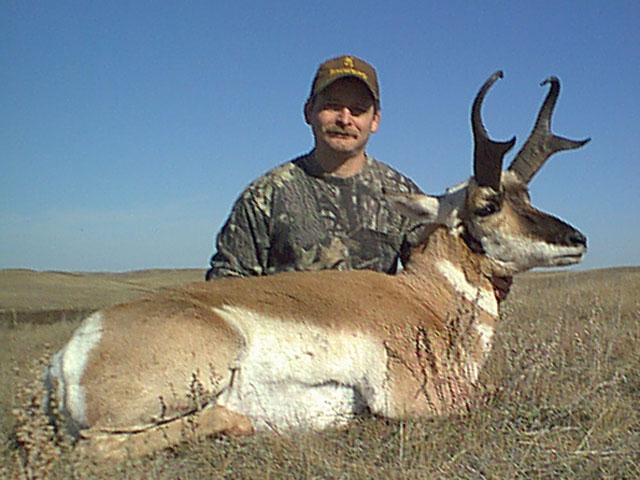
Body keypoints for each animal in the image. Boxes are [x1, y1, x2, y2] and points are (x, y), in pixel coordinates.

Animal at [45, 71, 592, 462]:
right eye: (487, 204)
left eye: (527, 196)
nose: (578, 239)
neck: (424, 299)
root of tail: (70, 355)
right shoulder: (427, 401)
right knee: (96, 447)